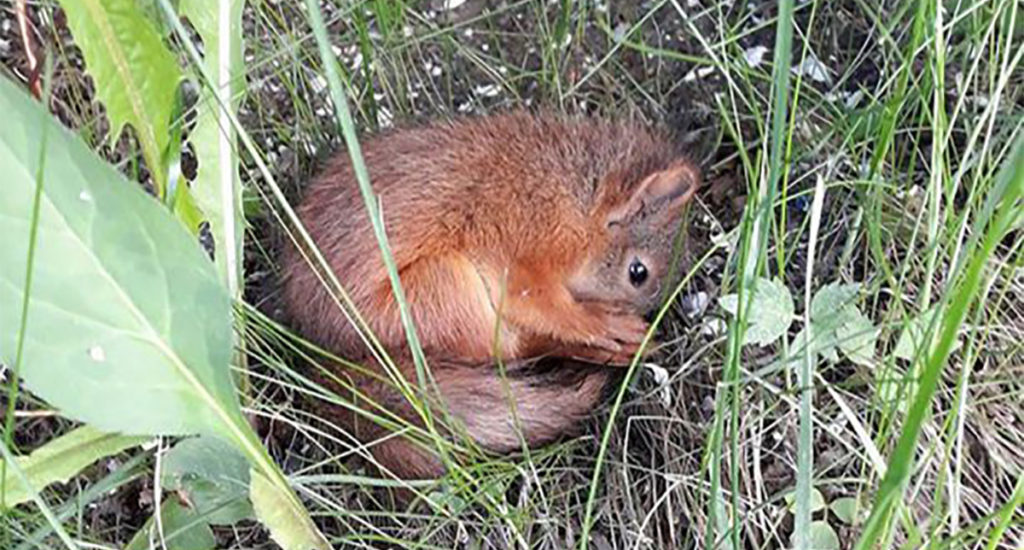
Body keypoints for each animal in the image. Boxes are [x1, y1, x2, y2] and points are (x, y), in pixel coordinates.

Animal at [284, 111, 700, 479]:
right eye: (638, 273)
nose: (640, 314)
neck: (573, 198)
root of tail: (330, 356)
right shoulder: (527, 250)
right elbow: (541, 304)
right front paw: (601, 323)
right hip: (445, 291)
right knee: (512, 349)